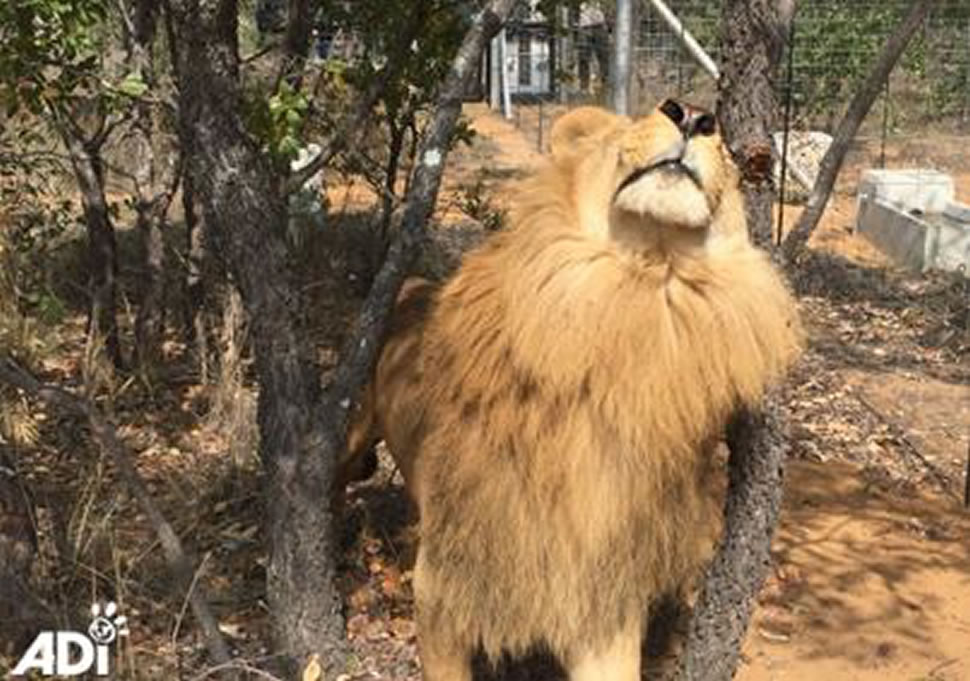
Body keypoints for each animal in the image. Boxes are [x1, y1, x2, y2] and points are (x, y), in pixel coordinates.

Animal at [341, 100, 803, 680]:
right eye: (642, 119)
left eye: (731, 157)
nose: (693, 114)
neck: (639, 290)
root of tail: (408, 285)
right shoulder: (445, 587)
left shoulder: (600, 595)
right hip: (349, 432)